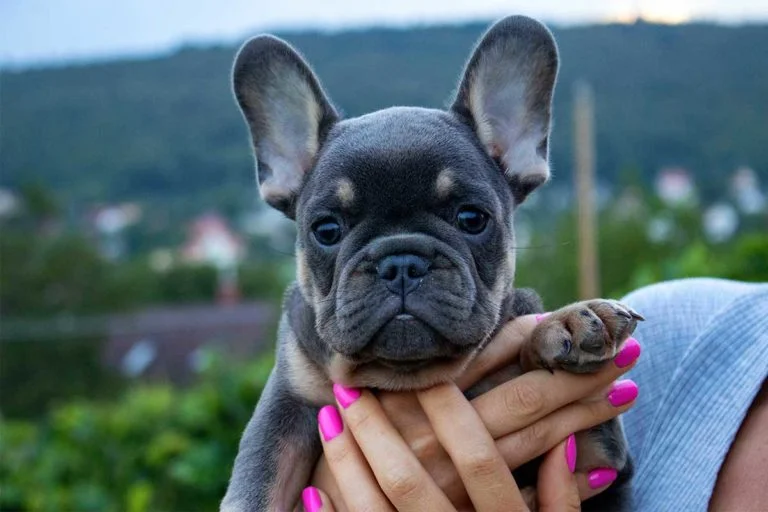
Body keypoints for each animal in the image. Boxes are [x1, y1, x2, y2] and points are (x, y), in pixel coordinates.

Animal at [224, 15, 640, 512]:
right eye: (326, 230)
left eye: (471, 218)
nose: (401, 261)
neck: (403, 379)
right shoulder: (286, 407)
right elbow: (258, 486)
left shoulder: (600, 464)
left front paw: (566, 323)